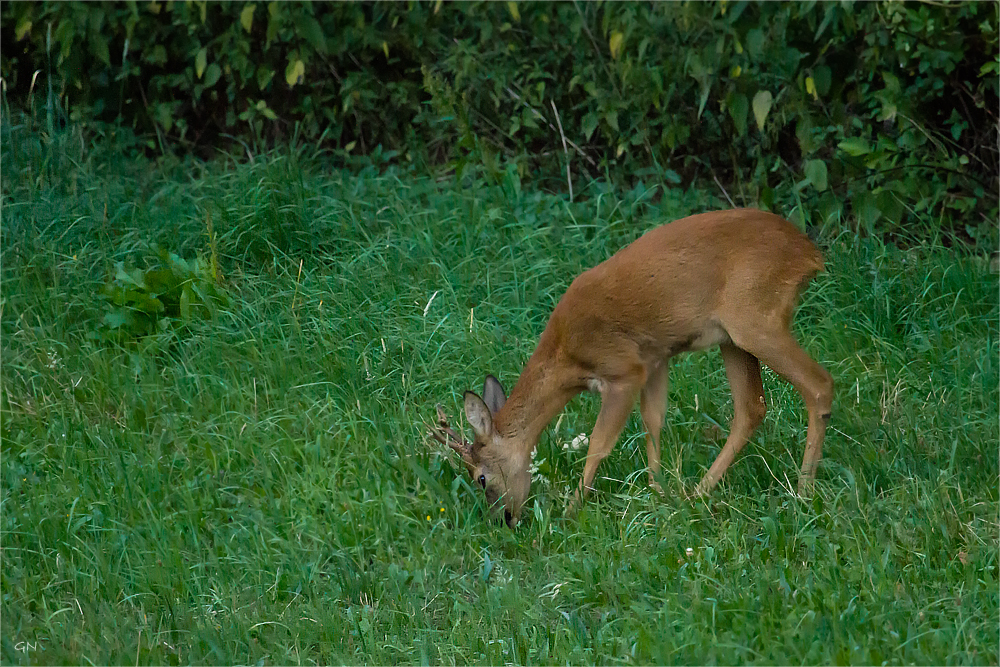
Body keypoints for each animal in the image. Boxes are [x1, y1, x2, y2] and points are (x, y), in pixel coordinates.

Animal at [430, 209, 828, 528]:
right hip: (732, 338)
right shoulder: (654, 360)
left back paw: (803, 491)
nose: (505, 520)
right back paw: (699, 491)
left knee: (818, 384)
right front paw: (658, 492)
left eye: (481, 478)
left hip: (756, 317)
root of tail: (809, 253)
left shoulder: (623, 369)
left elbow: (599, 443)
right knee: (751, 407)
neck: (566, 356)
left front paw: (572, 509)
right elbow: (654, 420)